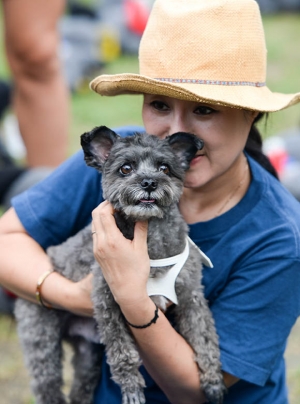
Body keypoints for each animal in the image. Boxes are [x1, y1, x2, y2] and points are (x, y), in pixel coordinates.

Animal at [14, 126, 225, 404]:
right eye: (126, 168)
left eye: (164, 168)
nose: (149, 182)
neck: (150, 239)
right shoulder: (108, 301)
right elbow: (122, 352)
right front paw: (131, 387)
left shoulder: (191, 296)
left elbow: (204, 336)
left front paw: (212, 379)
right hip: (42, 342)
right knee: (48, 384)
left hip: (88, 355)